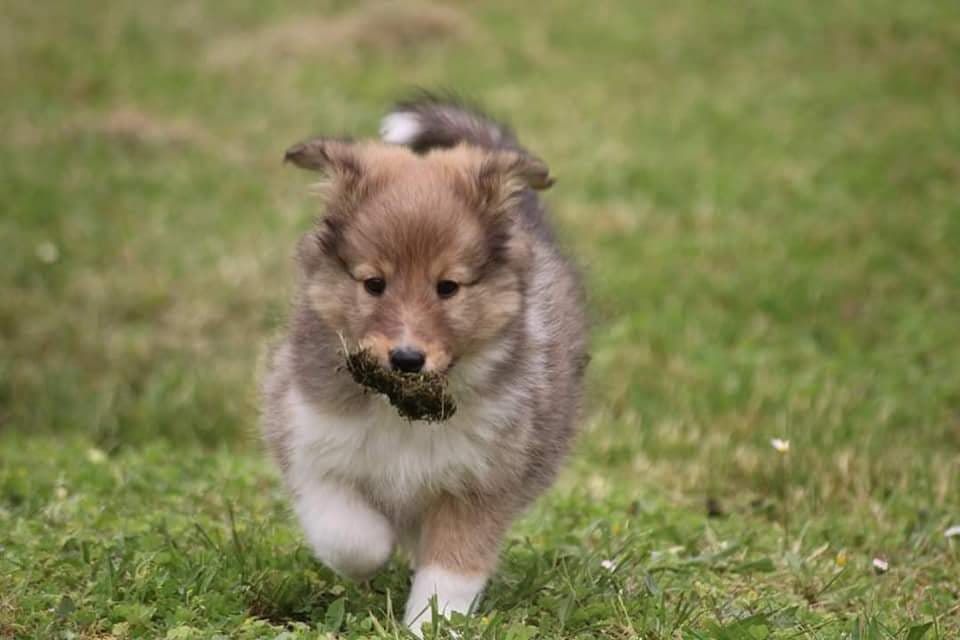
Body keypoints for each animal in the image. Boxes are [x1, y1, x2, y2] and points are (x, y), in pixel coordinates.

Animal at [264, 96, 592, 636]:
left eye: (448, 287)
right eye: (374, 283)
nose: (406, 358)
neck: (402, 408)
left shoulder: (481, 482)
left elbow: (451, 573)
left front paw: (430, 626)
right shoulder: (309, 439)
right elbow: (350, 536)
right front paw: (375, 554)